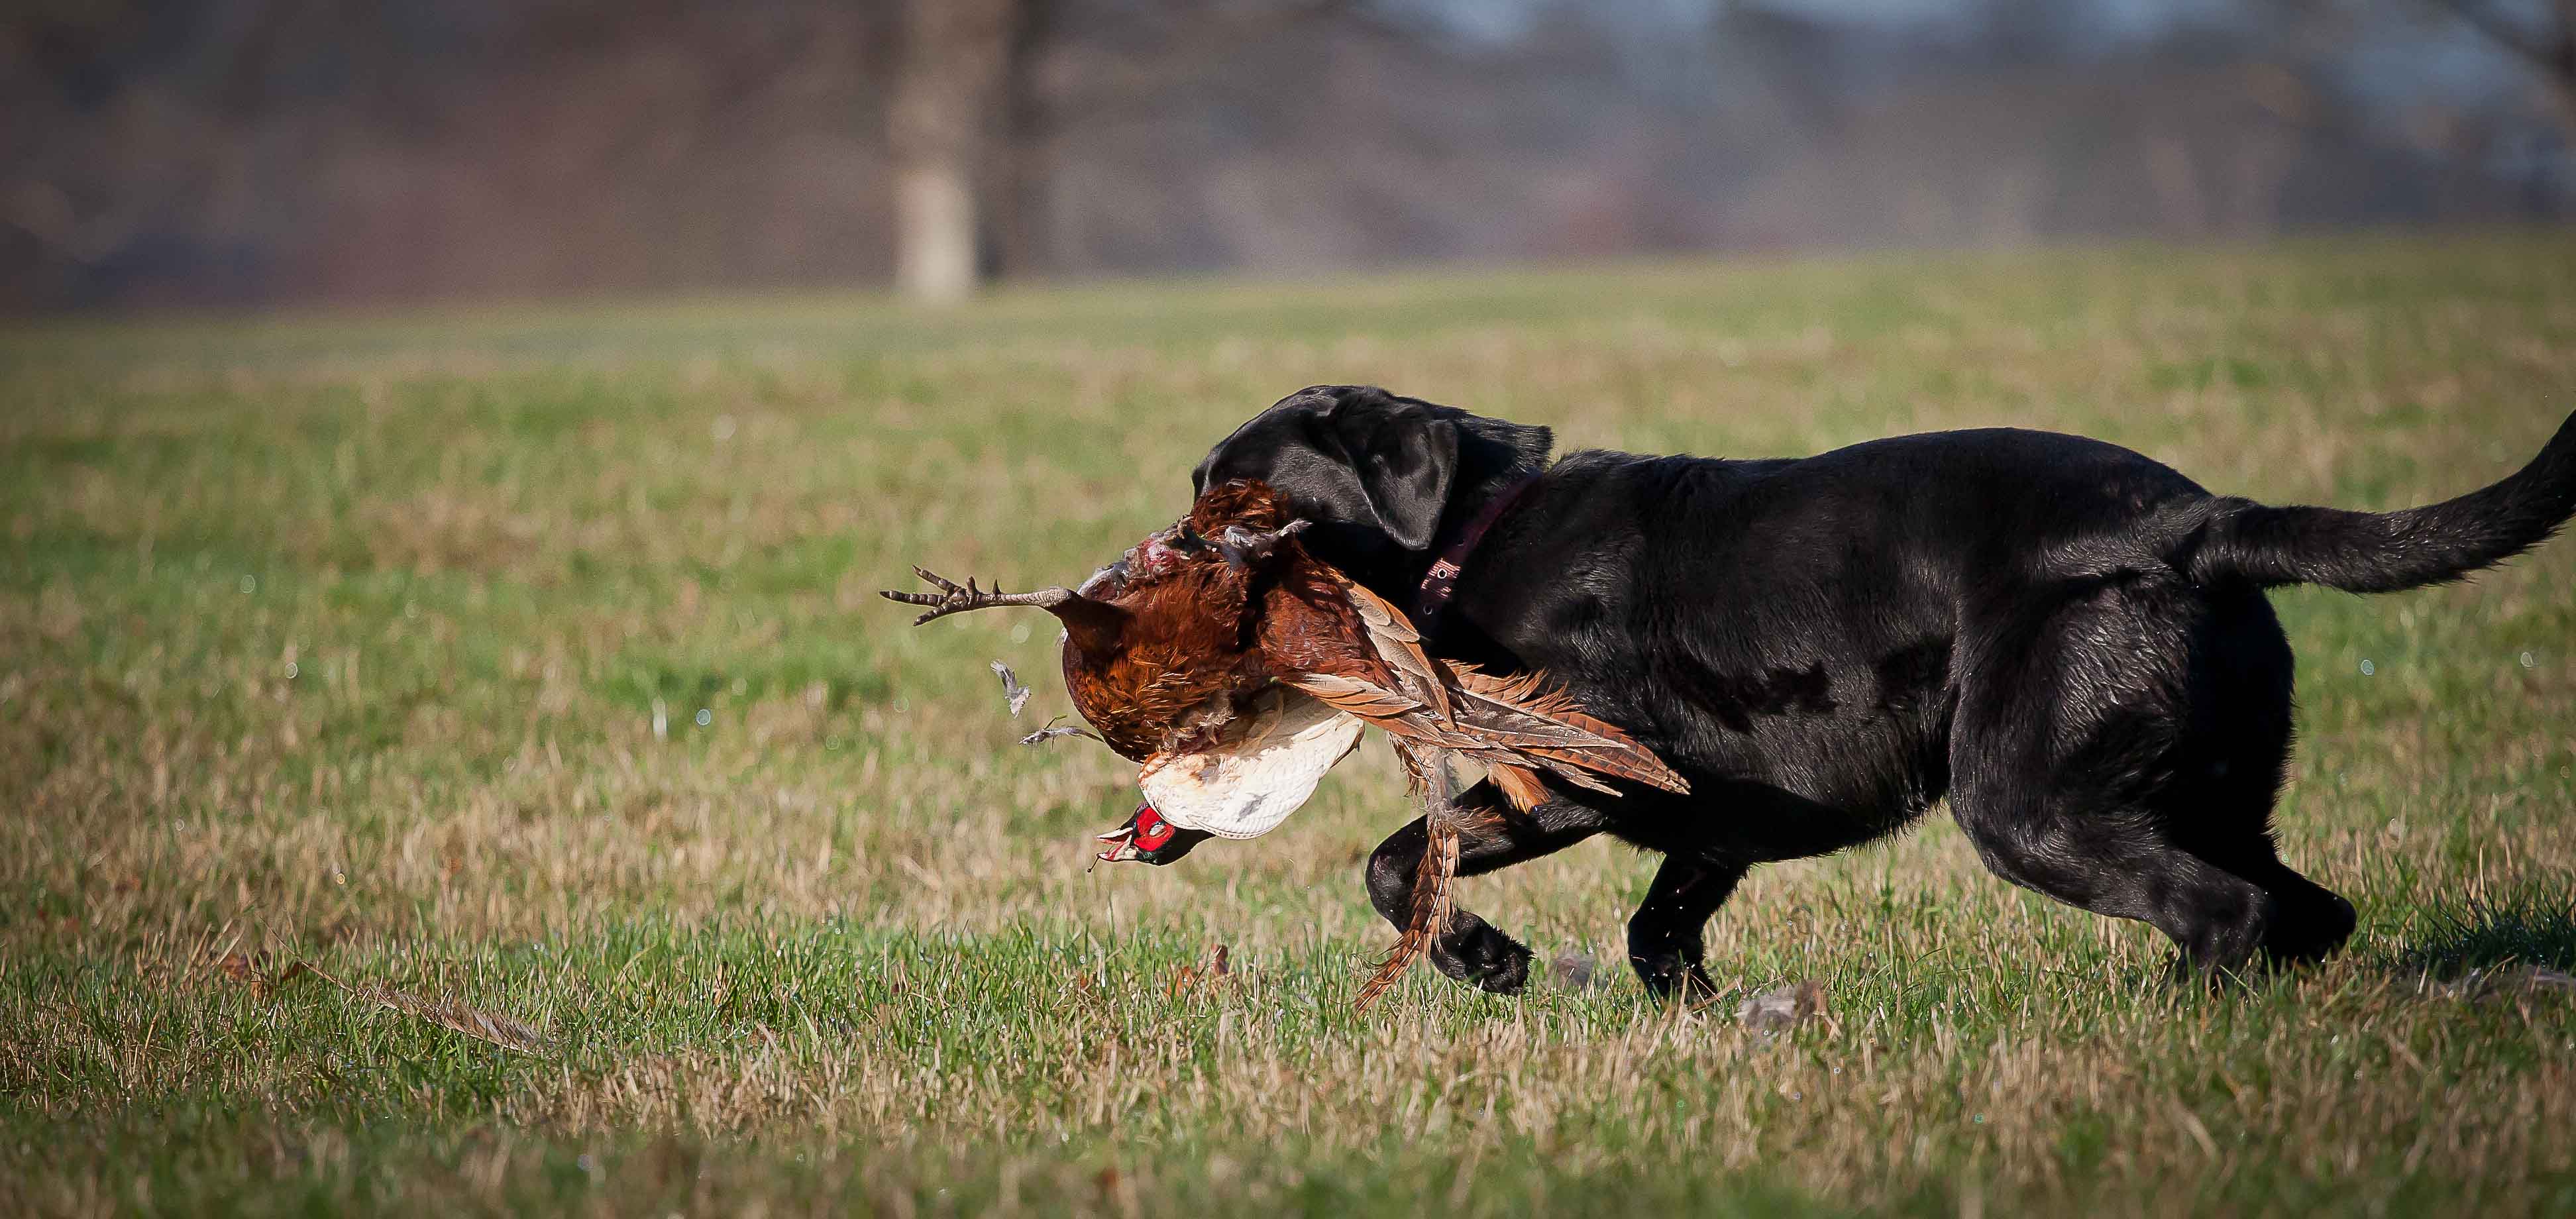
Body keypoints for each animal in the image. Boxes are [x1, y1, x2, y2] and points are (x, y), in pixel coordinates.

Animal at [1179, 384, 2565, 994]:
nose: (1159, 558)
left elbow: (1399, 863)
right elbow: (1646, 928)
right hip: (2208, 793)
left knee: (2223, 917)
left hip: (2028, 807)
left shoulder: (1576, 779)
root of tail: (2199, 525)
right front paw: (1682, 1013)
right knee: (2306, 914)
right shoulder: (1712, 823)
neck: (1477, 528)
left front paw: (1490, 961)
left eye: (1233, 496)